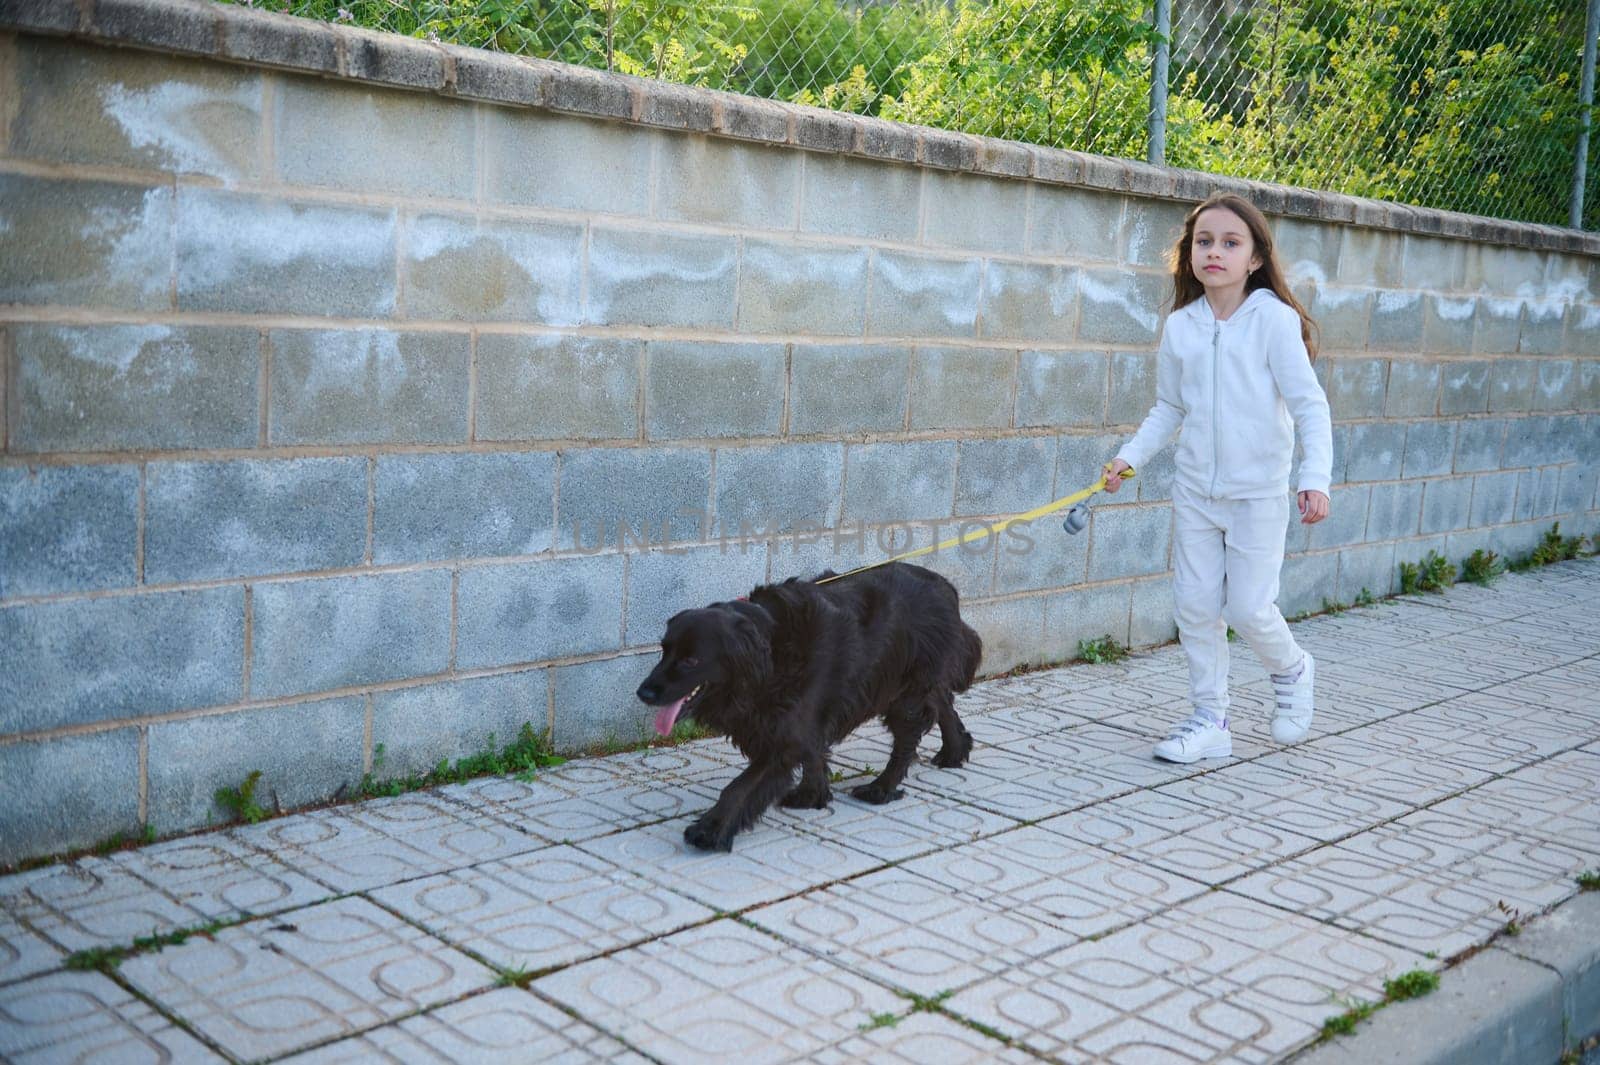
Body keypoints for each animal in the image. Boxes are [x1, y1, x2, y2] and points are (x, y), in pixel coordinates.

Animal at [630, 559, 979, 850]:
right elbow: (813, 754)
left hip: (904, 691)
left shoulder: (783, 738)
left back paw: (881, 788)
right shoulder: (801, 722)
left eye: (691, 660)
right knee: (943, 700)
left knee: (908, 738)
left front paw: (711, 830)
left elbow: (739, 787)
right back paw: (955, 750)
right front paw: (813, 796)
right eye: (664, 650)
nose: (644, 693)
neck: (769, 648)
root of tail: (947, 587)